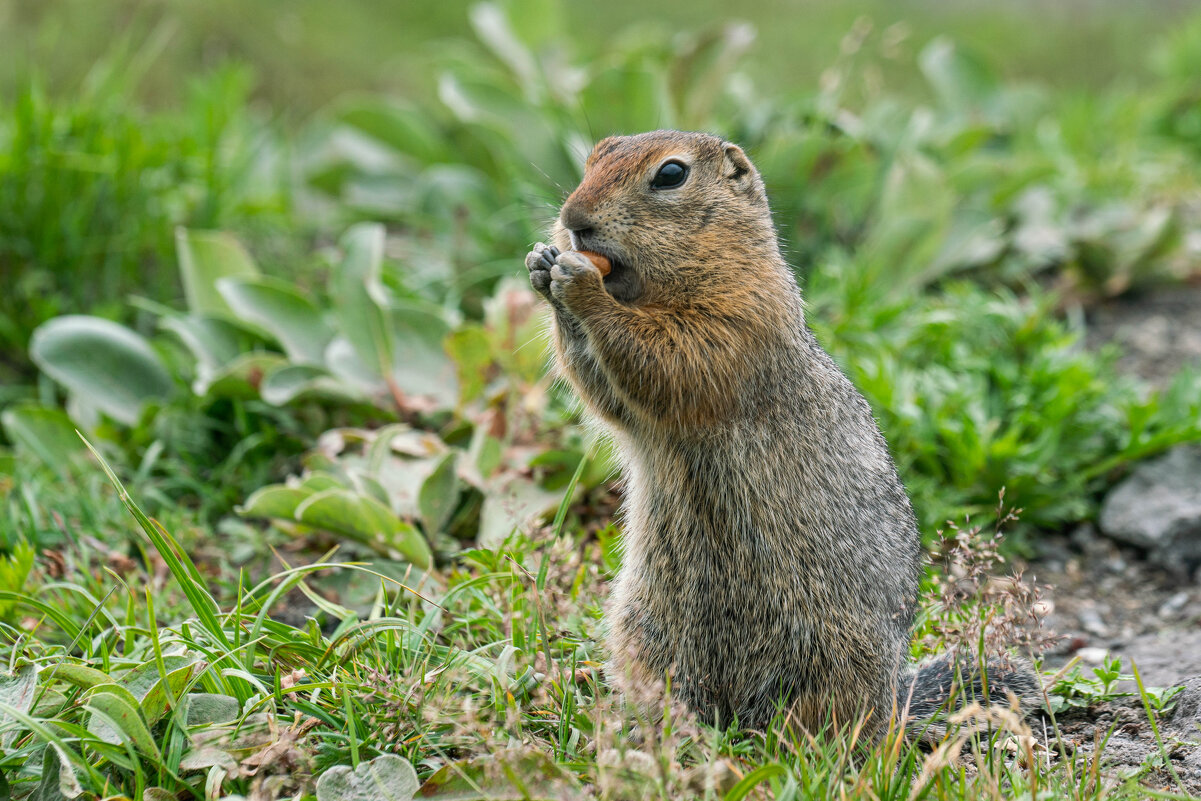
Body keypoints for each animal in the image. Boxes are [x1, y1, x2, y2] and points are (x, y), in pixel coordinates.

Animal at [526, 130, 1042, 734]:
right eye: (595, 155)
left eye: (671, 174)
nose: (573, 219)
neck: (650, 288)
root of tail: (894, 700)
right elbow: (609, 395)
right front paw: (542, 264)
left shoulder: (745, 312)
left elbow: (673, 356)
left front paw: (580, 283)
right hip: (645, 626)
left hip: (831, 654)